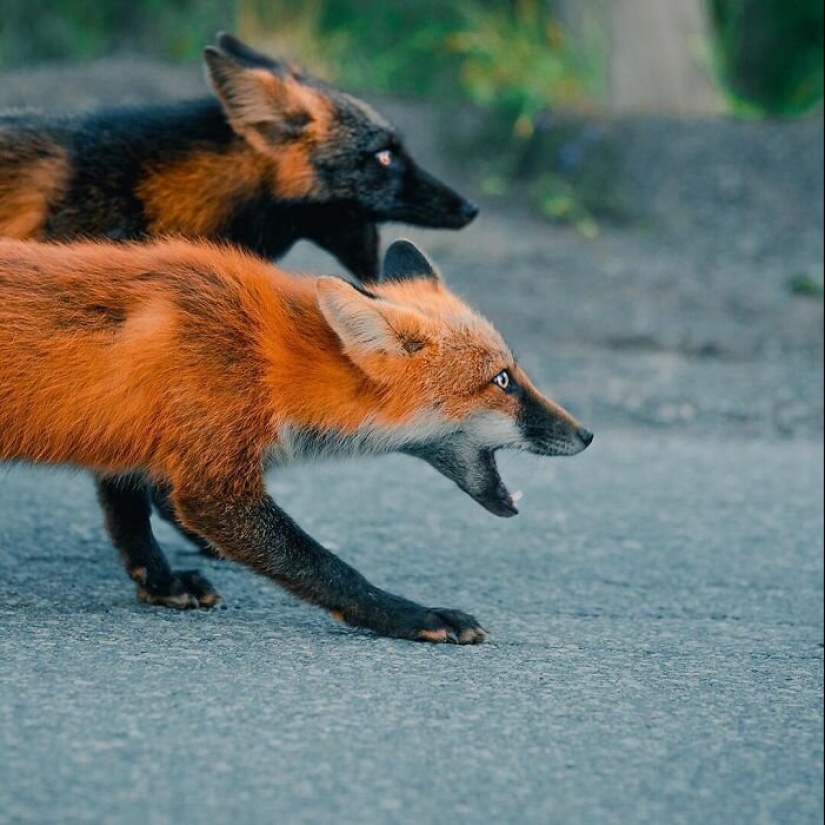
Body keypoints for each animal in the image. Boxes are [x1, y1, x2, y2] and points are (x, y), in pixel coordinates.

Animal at [0, 238, 592, 644]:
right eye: (502, 381)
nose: (586, 435)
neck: (268, 364)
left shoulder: (131, 435)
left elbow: (127, 514)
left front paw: (161, 583)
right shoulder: (214, 486)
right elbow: (328, 567)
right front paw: (408, 615)